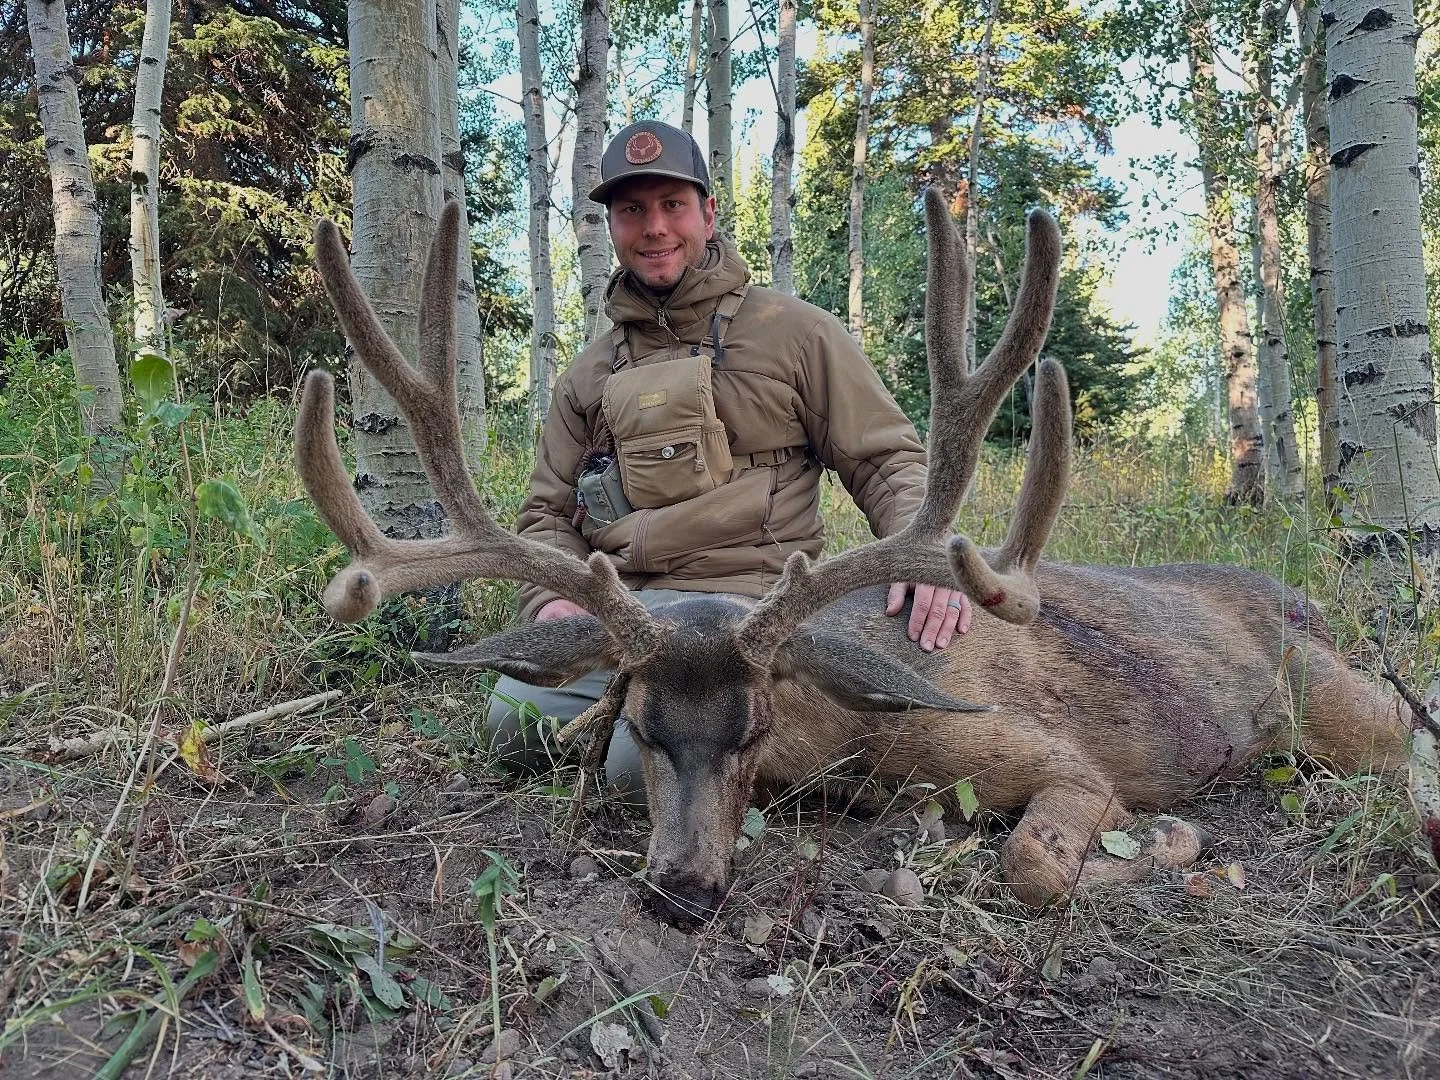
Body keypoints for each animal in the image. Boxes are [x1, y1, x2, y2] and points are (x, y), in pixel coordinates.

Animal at [295, 193, 1413, 926]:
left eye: (753, 728)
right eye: (644, 728)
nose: (681, 895)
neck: (845, 744)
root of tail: (1303, 601)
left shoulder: (1064, 758)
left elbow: (1032, 865)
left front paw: (1176, 843)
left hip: (1333, 698)